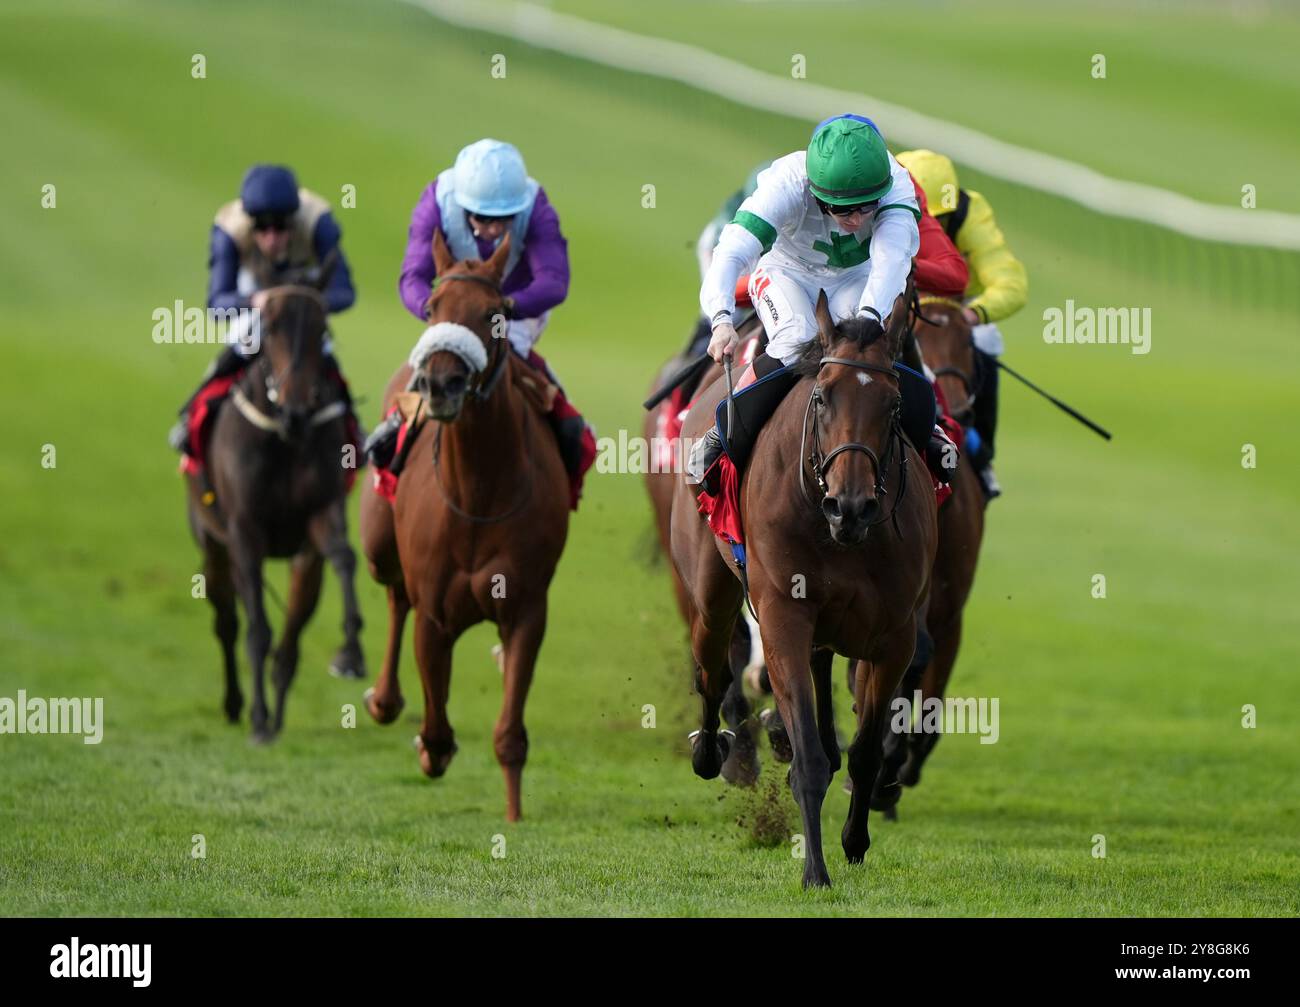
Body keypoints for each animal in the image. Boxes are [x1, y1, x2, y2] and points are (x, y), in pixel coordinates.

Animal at [185, 271, 366, 743]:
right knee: (227, 623)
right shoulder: (243, 530)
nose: (297, 411)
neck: (284, 438)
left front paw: (351, 652)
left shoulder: (321, 516)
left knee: (292, 631)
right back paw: (236, 704)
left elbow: (343, 558)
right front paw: (259, 719)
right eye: (269, 327)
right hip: (212, 542)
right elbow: (256, 631)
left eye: (322, 328)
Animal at [364, 232, 572, 821]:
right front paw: (428, 748)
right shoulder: (434, 614)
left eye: (494, 314)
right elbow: (435, 728)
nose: (441, 383)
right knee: (394, 595)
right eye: (433, 307)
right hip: (380, 543)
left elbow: (509, 734)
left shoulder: (526, 609)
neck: (477, 494)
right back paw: (383, 700)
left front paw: (514, 814)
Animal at [670, 291, 935, 888]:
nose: (851, 505)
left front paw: (854, 842)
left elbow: (866, 752)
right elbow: (808, 759)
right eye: (821, 396)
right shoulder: (783, 617)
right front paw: (815, 870)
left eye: (893, 405)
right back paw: (713, 752)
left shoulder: (895, 636)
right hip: (711, 594)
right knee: (711, 670)